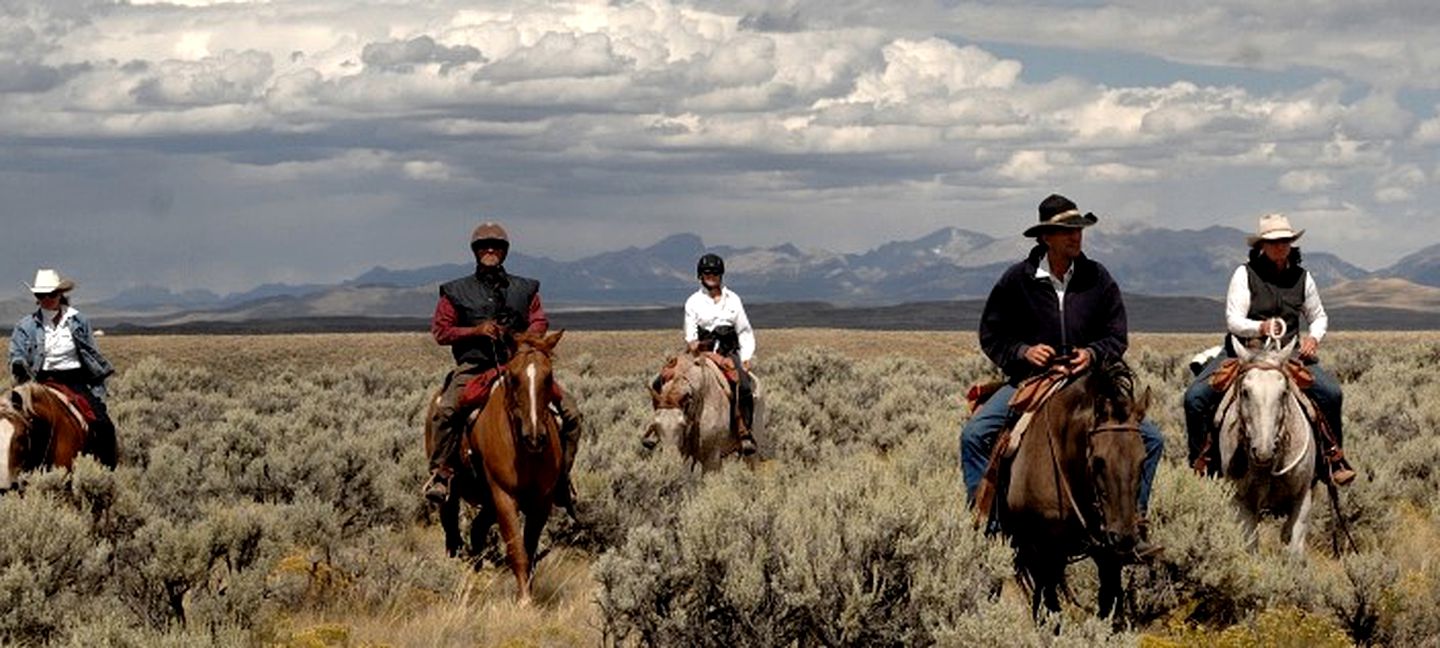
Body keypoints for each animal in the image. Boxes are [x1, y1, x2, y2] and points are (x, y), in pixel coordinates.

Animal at [1002, 361, 1146, 619]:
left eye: (1143, 460)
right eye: (1098, 461)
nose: (1124, 537)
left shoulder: (1106, 554)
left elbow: (1111, 604)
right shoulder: (1042, 552)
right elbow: (1049, 610)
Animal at [1215, 336, 1319, 552]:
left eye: (1284, 392)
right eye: (1245, 392)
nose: (1263, 452)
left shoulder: (1303, 497)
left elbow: (1294, 549)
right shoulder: (1241, 502)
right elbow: (1250, 545)